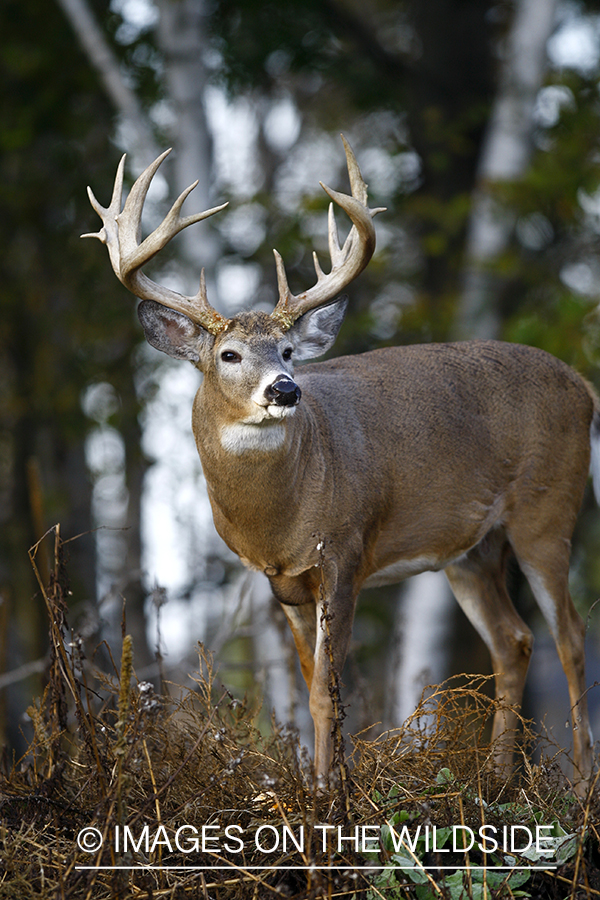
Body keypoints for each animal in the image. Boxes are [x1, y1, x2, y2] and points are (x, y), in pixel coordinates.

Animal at [83, 137, 596, 792]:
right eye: (229, 355)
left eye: (288, 351)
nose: (285, 389)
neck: (281, 515)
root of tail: (585, 389)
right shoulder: (283, 582)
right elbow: (309, 687)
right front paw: (324, 783)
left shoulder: (347, 551)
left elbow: (328, 691)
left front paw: (331, 796)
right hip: (471, 550)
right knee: (515, 639)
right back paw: (498, 779)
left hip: (547, 510)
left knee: (570, 635)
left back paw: (579, 784)